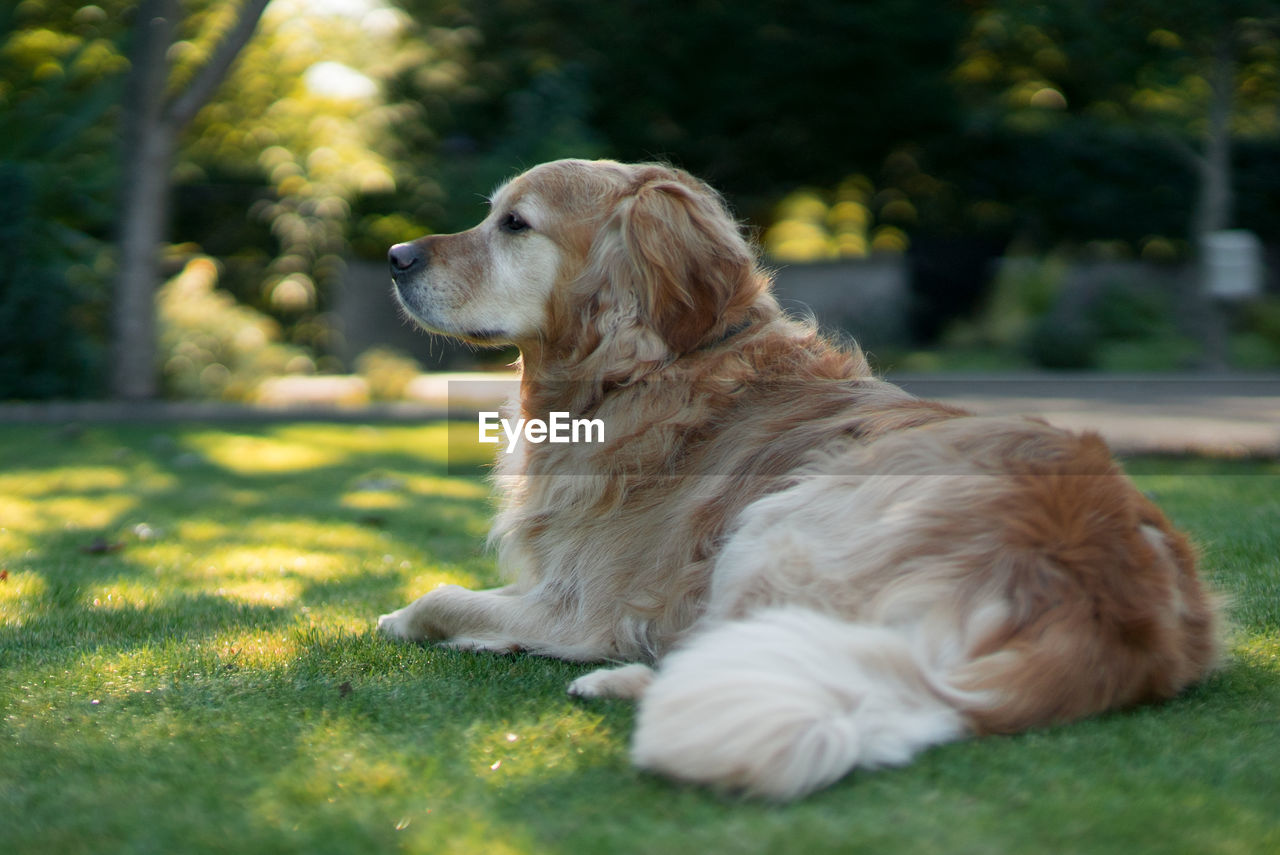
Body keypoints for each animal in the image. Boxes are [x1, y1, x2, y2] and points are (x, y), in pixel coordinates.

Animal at [376, 159, 1218, 803]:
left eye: (514, 224)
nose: (394, 254)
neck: (651, 369)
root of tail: (1103, 599)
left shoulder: (590, 606)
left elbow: (438, 594)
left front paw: (409, 620)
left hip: (783, 521)